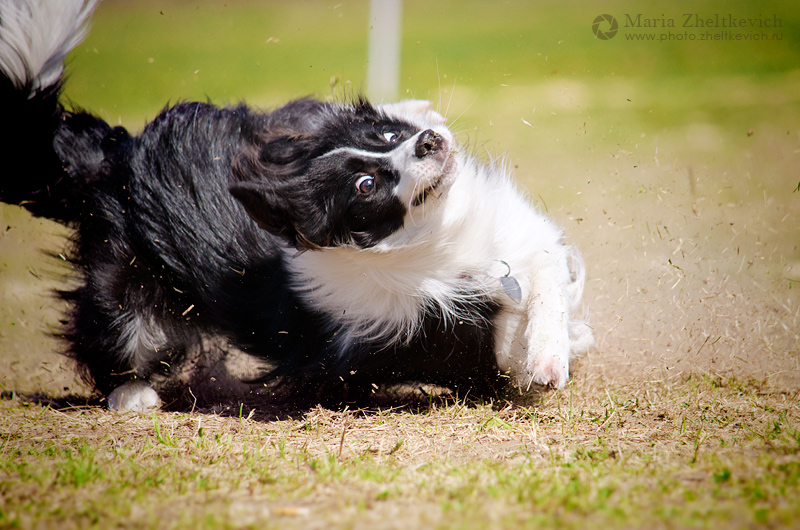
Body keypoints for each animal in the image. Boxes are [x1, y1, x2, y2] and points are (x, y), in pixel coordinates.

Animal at [1, 0, 592, 408]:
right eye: (365, 186)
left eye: (387, 134)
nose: (426, 141)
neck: (434, 233)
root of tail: (114, 158)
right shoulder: (434, 333)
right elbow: (502, 344)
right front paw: (545, 362)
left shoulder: (521, 242)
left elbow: (548, 278)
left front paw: (555, 342)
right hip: (126, 284)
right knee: (116, 331)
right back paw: (133, 396)